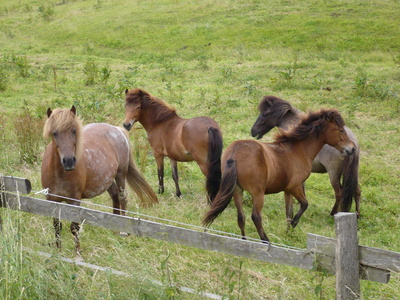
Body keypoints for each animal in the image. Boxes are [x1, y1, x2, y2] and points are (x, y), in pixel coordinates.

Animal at [41, 105, 158, 255]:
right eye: (54, 133)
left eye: (74, 131)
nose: (69, 161)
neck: (59, 174)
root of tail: (116, 129)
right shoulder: (51, 199)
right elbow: (57, 225)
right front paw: (58, 251)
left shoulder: (74, 200)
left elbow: (74, 227)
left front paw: (77, 253)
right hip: (107, 180)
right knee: (115, 196)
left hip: (120, 174)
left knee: (122, 197)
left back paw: (123, 230)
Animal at [205, 109, 354, 243]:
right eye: (341, 130)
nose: (351, 148)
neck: (297, 150)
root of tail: (234, 153)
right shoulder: (295, 186)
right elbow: (304, 204)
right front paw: (293, 225)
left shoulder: (287, 190)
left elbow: (289, 212)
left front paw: (288, 233)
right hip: (257, 193)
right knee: (256, 216)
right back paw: (266, 240)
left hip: (237, 190)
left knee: (241, 217)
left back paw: (245, 241)